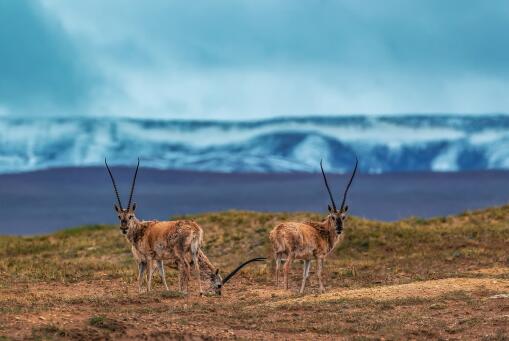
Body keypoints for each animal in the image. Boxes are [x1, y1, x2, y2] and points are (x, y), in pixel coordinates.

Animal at [107, 158, 266, 294]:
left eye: (130, 216)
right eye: (120, 216)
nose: (124, 228)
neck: (142, 229)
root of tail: (195, 228)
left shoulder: (151, 257)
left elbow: (152, 275)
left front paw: (151, 291)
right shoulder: (154, 259)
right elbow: (152, 275)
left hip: (180, 254)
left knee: (188, 268)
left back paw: (184, 292)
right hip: (193, 251)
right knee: (195, 268)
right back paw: (199, 292)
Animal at [270, 157, 358, 292]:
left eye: (343, 217)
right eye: (332, 217)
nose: (339, 229)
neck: (322, 231)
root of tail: (278, 230)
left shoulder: (307, 259)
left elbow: (305, 275)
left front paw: (301, 292)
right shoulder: (319, 256)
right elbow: (319, 273)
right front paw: (323, 290)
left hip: (278, 253)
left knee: (277, 268)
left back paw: (277, 287)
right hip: (291, 254)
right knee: (285, 267)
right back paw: (286, 289)